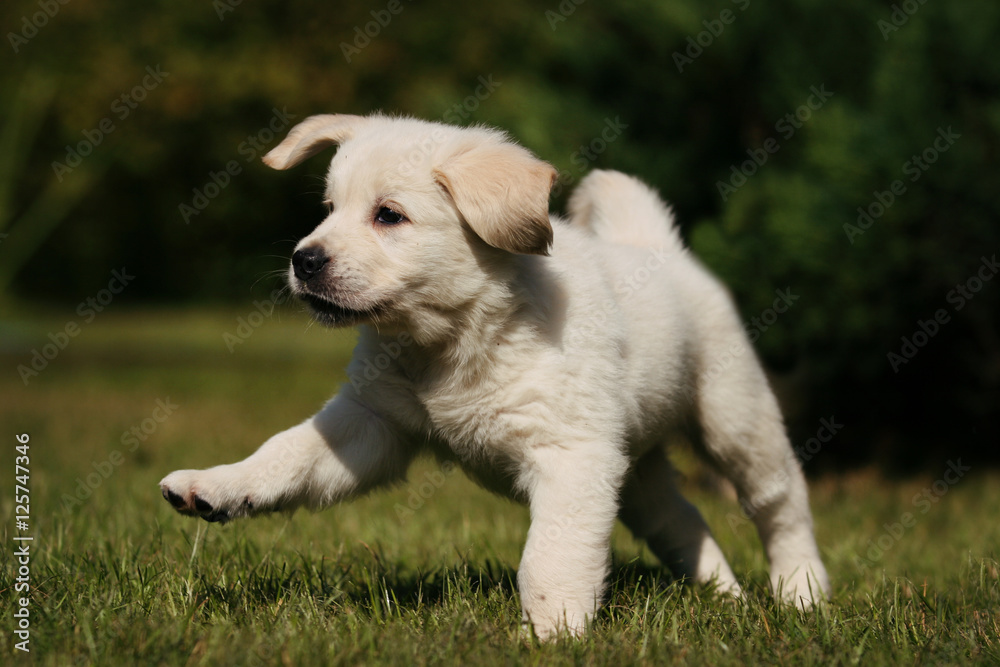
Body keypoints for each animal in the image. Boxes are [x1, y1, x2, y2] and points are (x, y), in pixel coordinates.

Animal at [160, 112, 832, 640]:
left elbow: (550, 558)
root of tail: (658, 249)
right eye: (328, 211)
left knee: (781, 505)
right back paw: (725, 596)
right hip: (633, 471)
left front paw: (554, 634)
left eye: (388, 216)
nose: (303, 261)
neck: (448, 344)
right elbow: (284, 455)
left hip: (735, 420)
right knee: (681, 521)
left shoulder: (571, 459)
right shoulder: (372, 423)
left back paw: (802, 594)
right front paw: (215, 486)